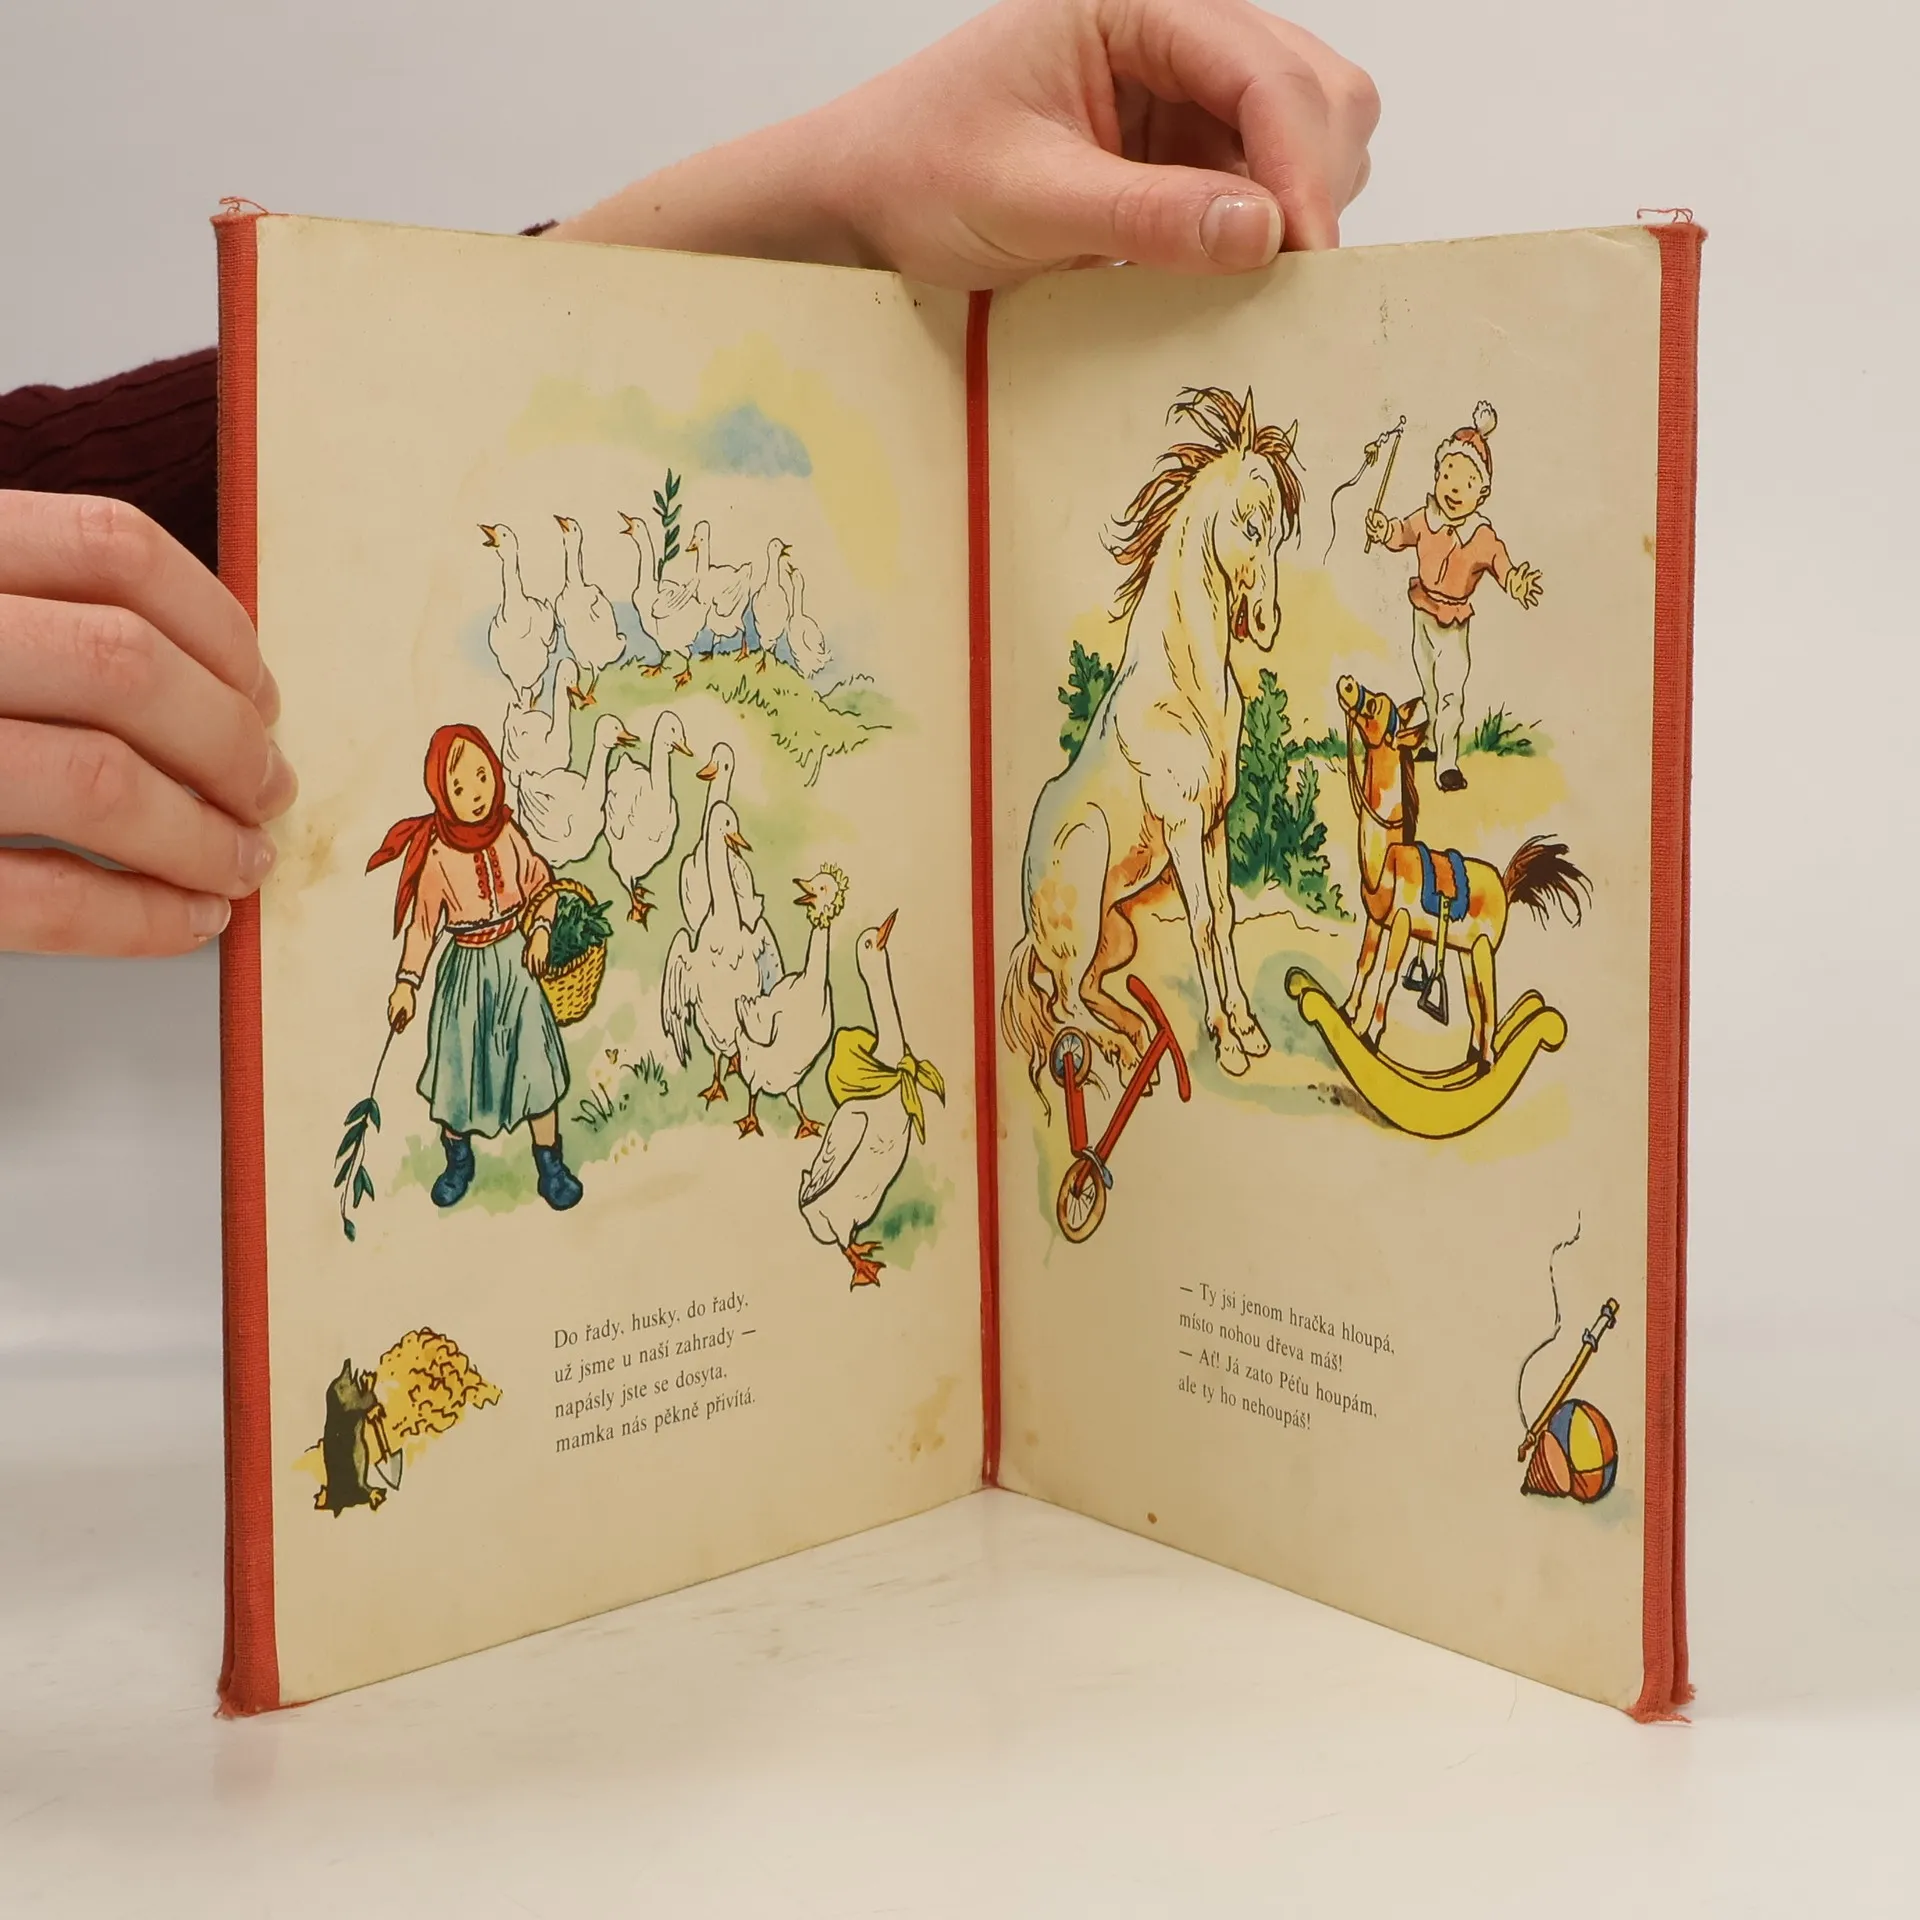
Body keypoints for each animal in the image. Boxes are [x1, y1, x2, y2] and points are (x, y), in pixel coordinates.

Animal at [1002, 387, 1302, 1103]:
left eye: (1279, 532)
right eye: (1250, 527)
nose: (1267, 624)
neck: (1186, 689)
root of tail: (1026, 921)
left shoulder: (1214, 826)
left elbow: (1224, 914)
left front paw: (1248, 1029)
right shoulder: (1182, 828)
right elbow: (1200, 923)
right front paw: (1228, 1045)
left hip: (1117, 939)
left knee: (1083, 993)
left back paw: (1139, 1036)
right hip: (1085, 910)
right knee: (1063, 1002)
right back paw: (1123, 1047)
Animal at [1335, 675, 1589, 1069]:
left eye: (1375, 705)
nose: (1347, 683)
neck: (1388, 857)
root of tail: (1503, 883)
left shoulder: (1402, 926)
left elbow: (1387, 978)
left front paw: (1368, 1034)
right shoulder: (1375, 922)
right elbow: (1364, 964)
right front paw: (1347, 1012)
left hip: (1484, 951)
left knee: (1491, 1002)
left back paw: (1489, 1059)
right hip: (1465, 952)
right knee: (1475, 1003)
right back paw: (1474, 1056)